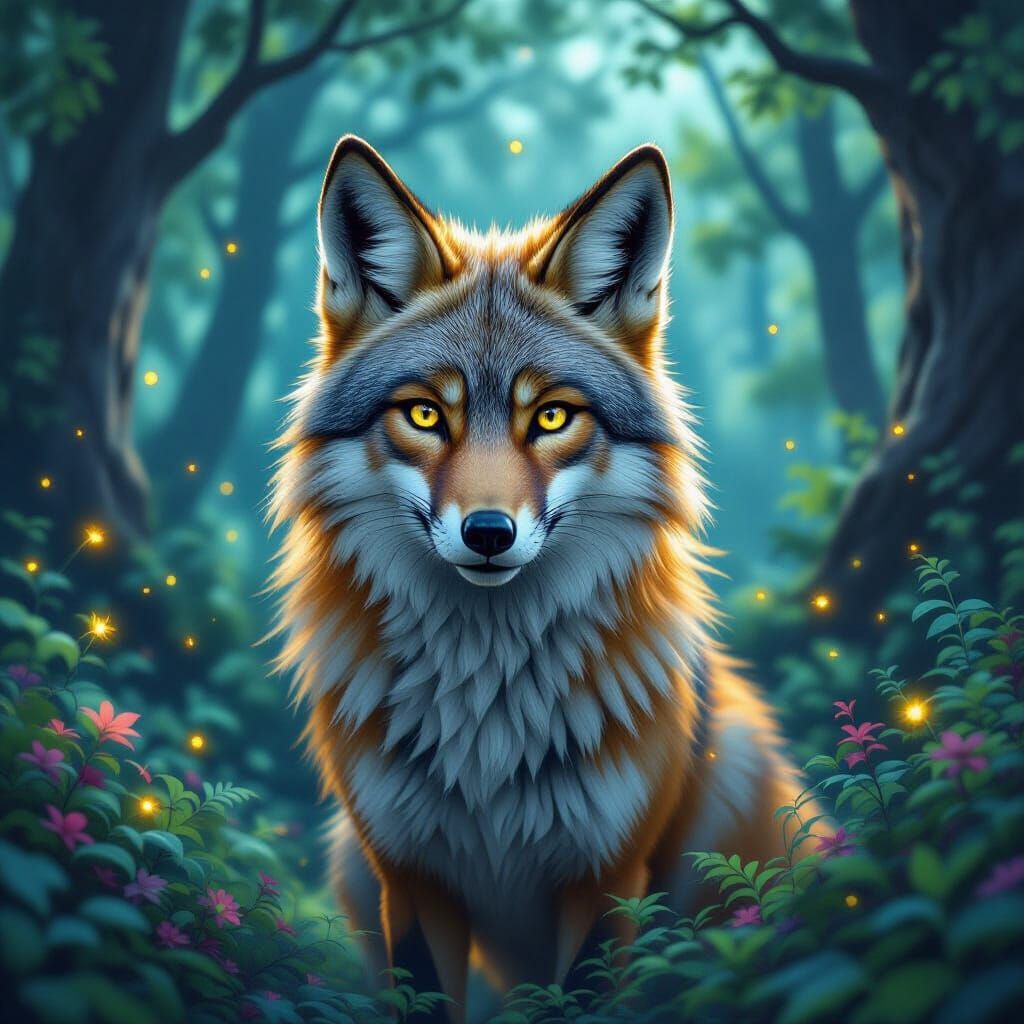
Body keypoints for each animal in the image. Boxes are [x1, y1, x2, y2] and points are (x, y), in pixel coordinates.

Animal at [269, 135, 807, 1021]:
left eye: (551, 417)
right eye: (426, 415)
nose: (489, 533)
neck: (489, 722)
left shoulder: (608, 878)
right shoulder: (408, 879)